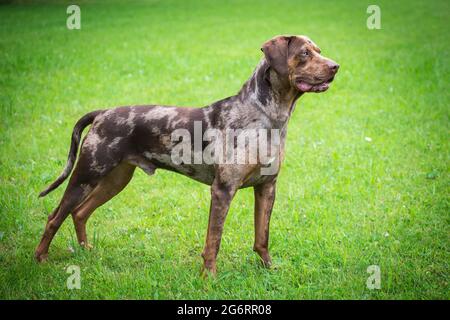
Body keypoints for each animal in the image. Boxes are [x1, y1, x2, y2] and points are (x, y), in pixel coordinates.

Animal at [35, 34, 338, 276]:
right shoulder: (223, 190)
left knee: (80, 213)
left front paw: (269, 269)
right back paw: (40, 258)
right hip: (86, 174)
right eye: (305, 53)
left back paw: (86, 250)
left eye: (319, 50)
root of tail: (102, 113)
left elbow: (261, 238)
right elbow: (213, 241)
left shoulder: (267, 186)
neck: (268, 117)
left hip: (115, 179)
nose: (336, 66)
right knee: (55, 216)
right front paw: (209, 277)